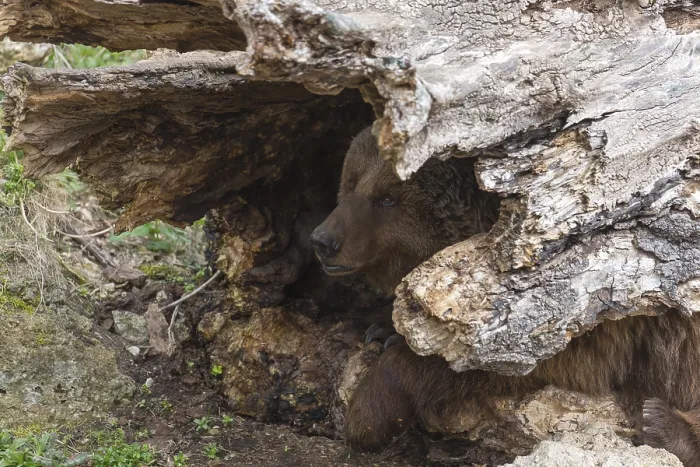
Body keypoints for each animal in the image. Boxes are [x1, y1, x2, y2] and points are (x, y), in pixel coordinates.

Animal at [311, 126, 700, 466]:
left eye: (388, 198)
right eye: (350, 181)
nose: (323, 240)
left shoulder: (588, 305)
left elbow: (529, 362)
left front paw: (367, 416)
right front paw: (381, 326)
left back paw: (662, 424)